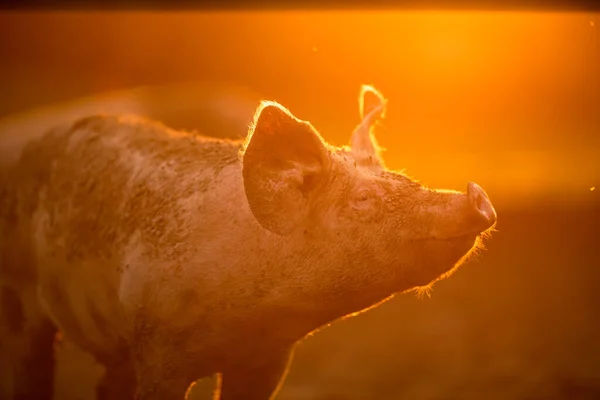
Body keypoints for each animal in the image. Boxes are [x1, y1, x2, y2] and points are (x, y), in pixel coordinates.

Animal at [1, 85, 496, 400]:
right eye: (363, 200)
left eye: (404, 178)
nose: (475, 196)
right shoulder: (158, 345)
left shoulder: (269, 359)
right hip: (20, 294)